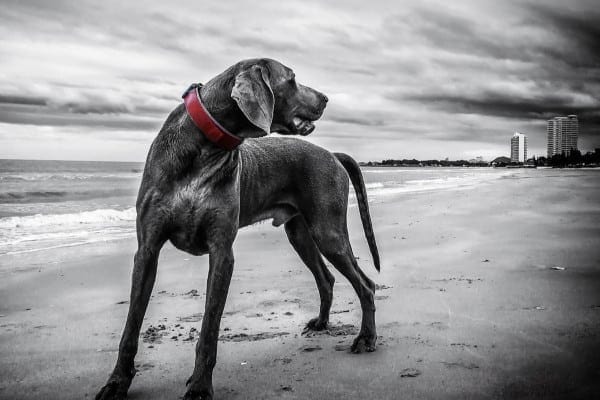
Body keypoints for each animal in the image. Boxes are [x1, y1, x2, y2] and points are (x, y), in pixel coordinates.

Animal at [96, 57, 382, 398]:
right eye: (292, 79)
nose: (326, 98)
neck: (205, 147)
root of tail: (331, 154)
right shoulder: (148, 249)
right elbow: (131, 327)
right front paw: (116, 382)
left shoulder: (221, 253)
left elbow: (209, 329)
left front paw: (199, 386)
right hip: (300, 233)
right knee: (326, 279)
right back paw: (322, 323)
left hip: (328, 232)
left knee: (366, 284)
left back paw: (366, 338)